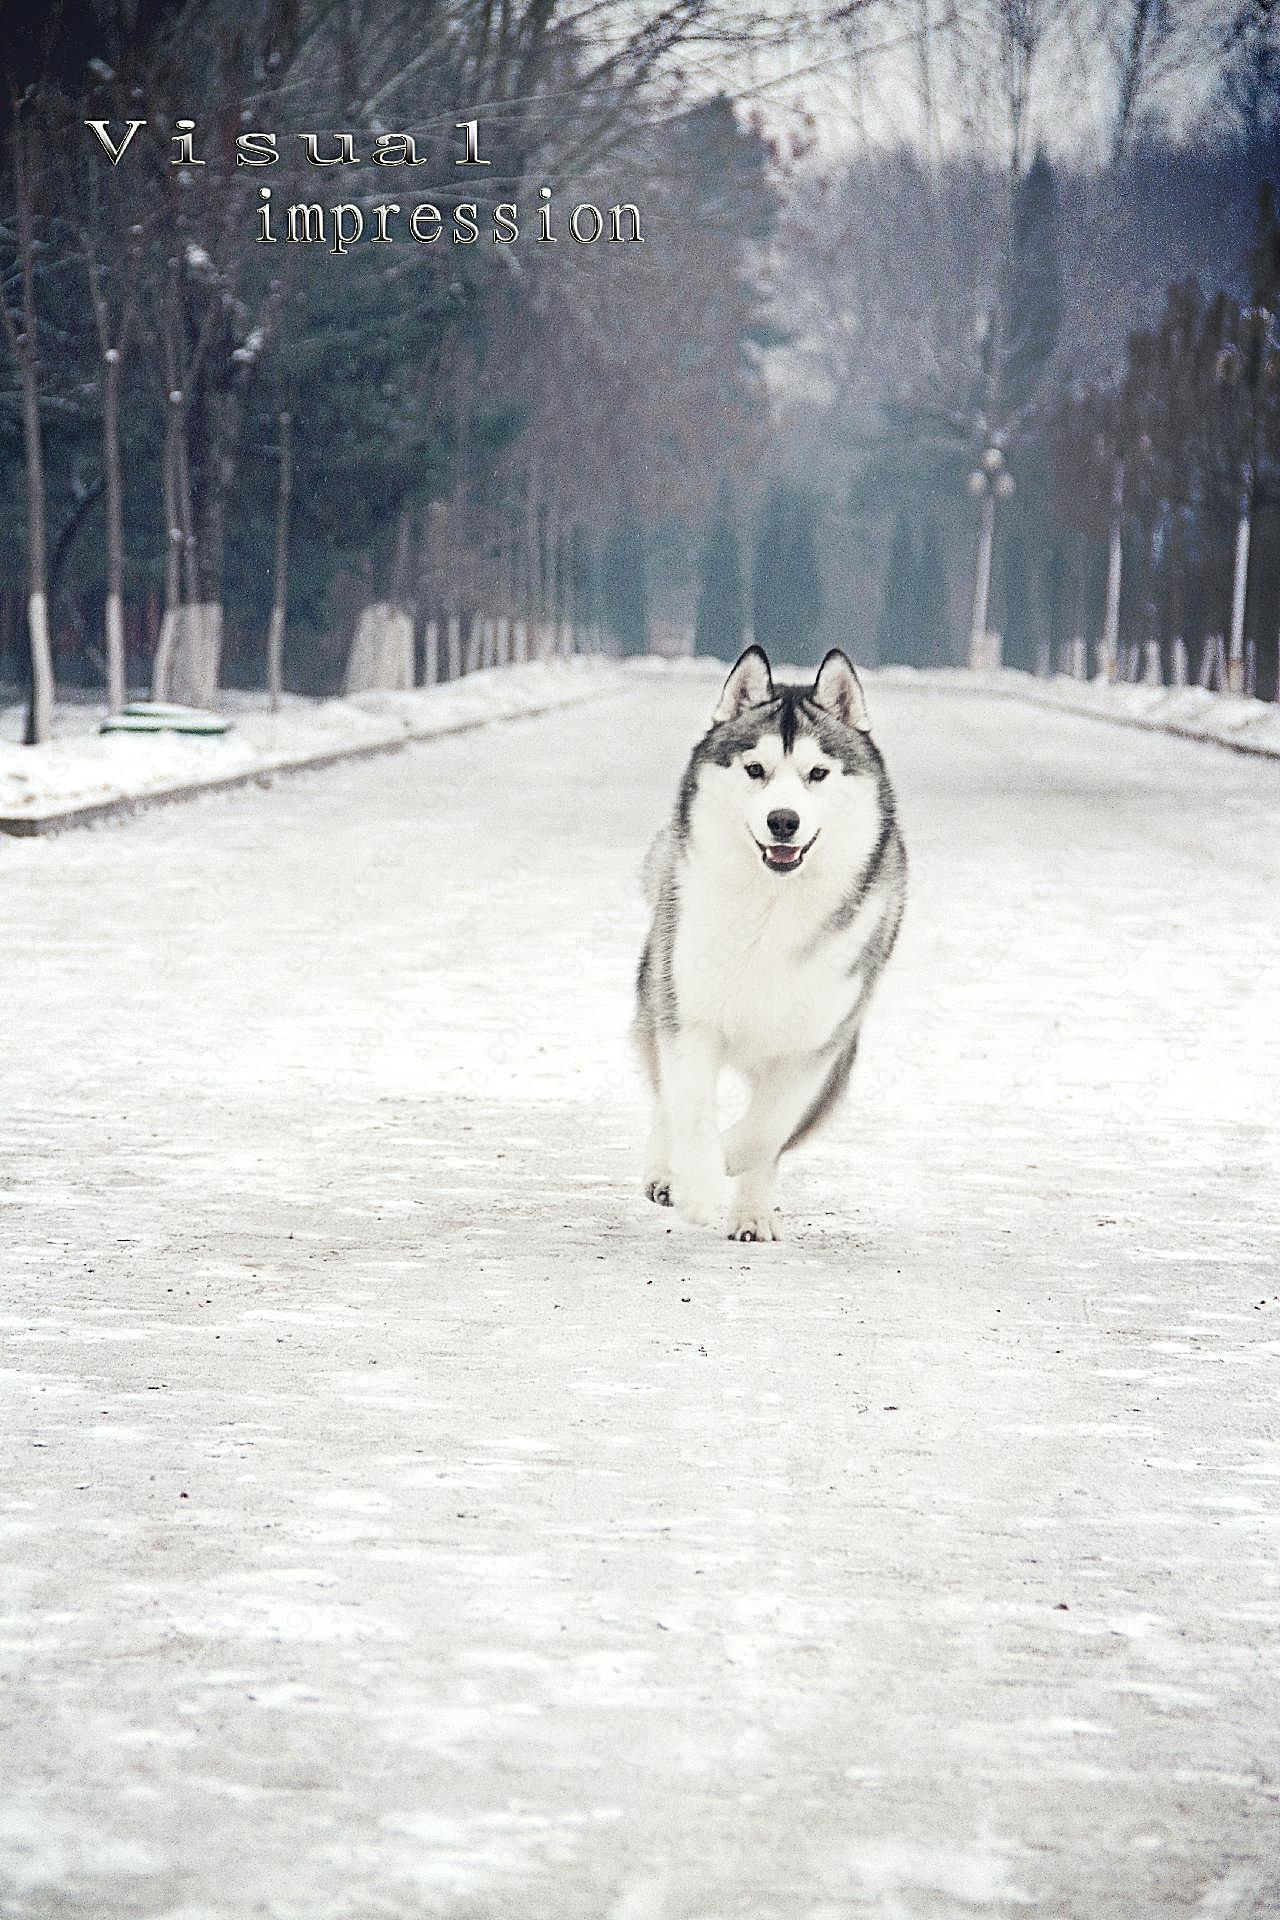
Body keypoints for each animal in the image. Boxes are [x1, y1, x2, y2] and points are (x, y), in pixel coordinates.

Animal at [637, 645, 905, 1244]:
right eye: (755, 770)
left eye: (817, 773)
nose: (783, 820)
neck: (772, 907)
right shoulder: (690, 1015)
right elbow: (690, 1107)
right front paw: (698, 1183)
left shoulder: (817, 1044)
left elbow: (767, 1130)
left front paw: (728, 1167)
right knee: (665, 1098)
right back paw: (667, 1173)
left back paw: (752, 1214)